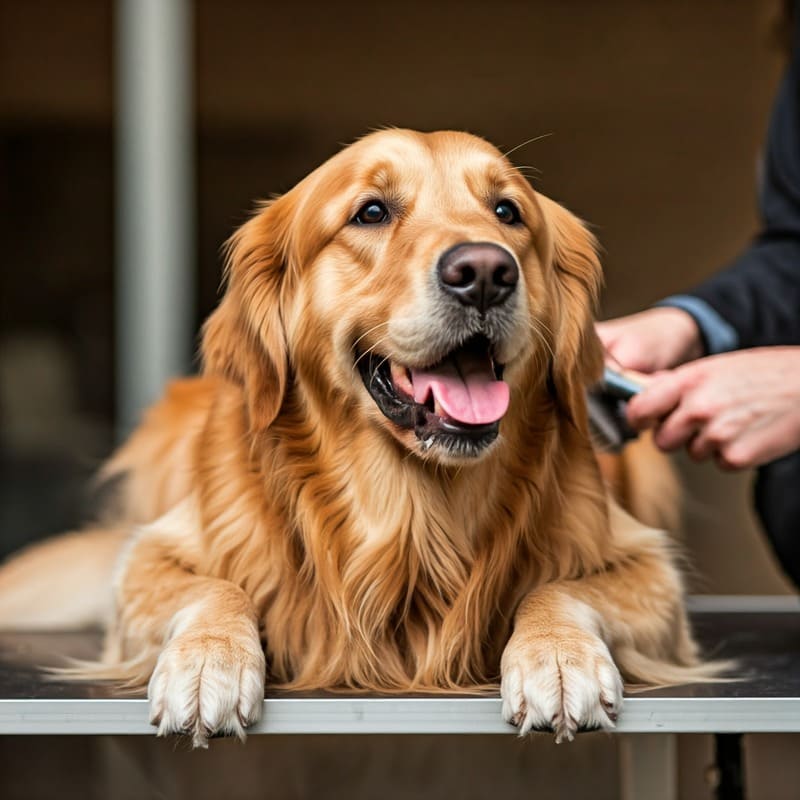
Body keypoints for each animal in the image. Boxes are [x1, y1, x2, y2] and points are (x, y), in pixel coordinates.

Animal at [0, 128, 716, 748]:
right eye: (371, 212)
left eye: (508, 211)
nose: (486, 271)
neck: (410, 516)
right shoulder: (150, 556)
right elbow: (217, 585)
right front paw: (208, 663)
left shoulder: (646, 563)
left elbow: (559, 586)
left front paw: (559, 657)